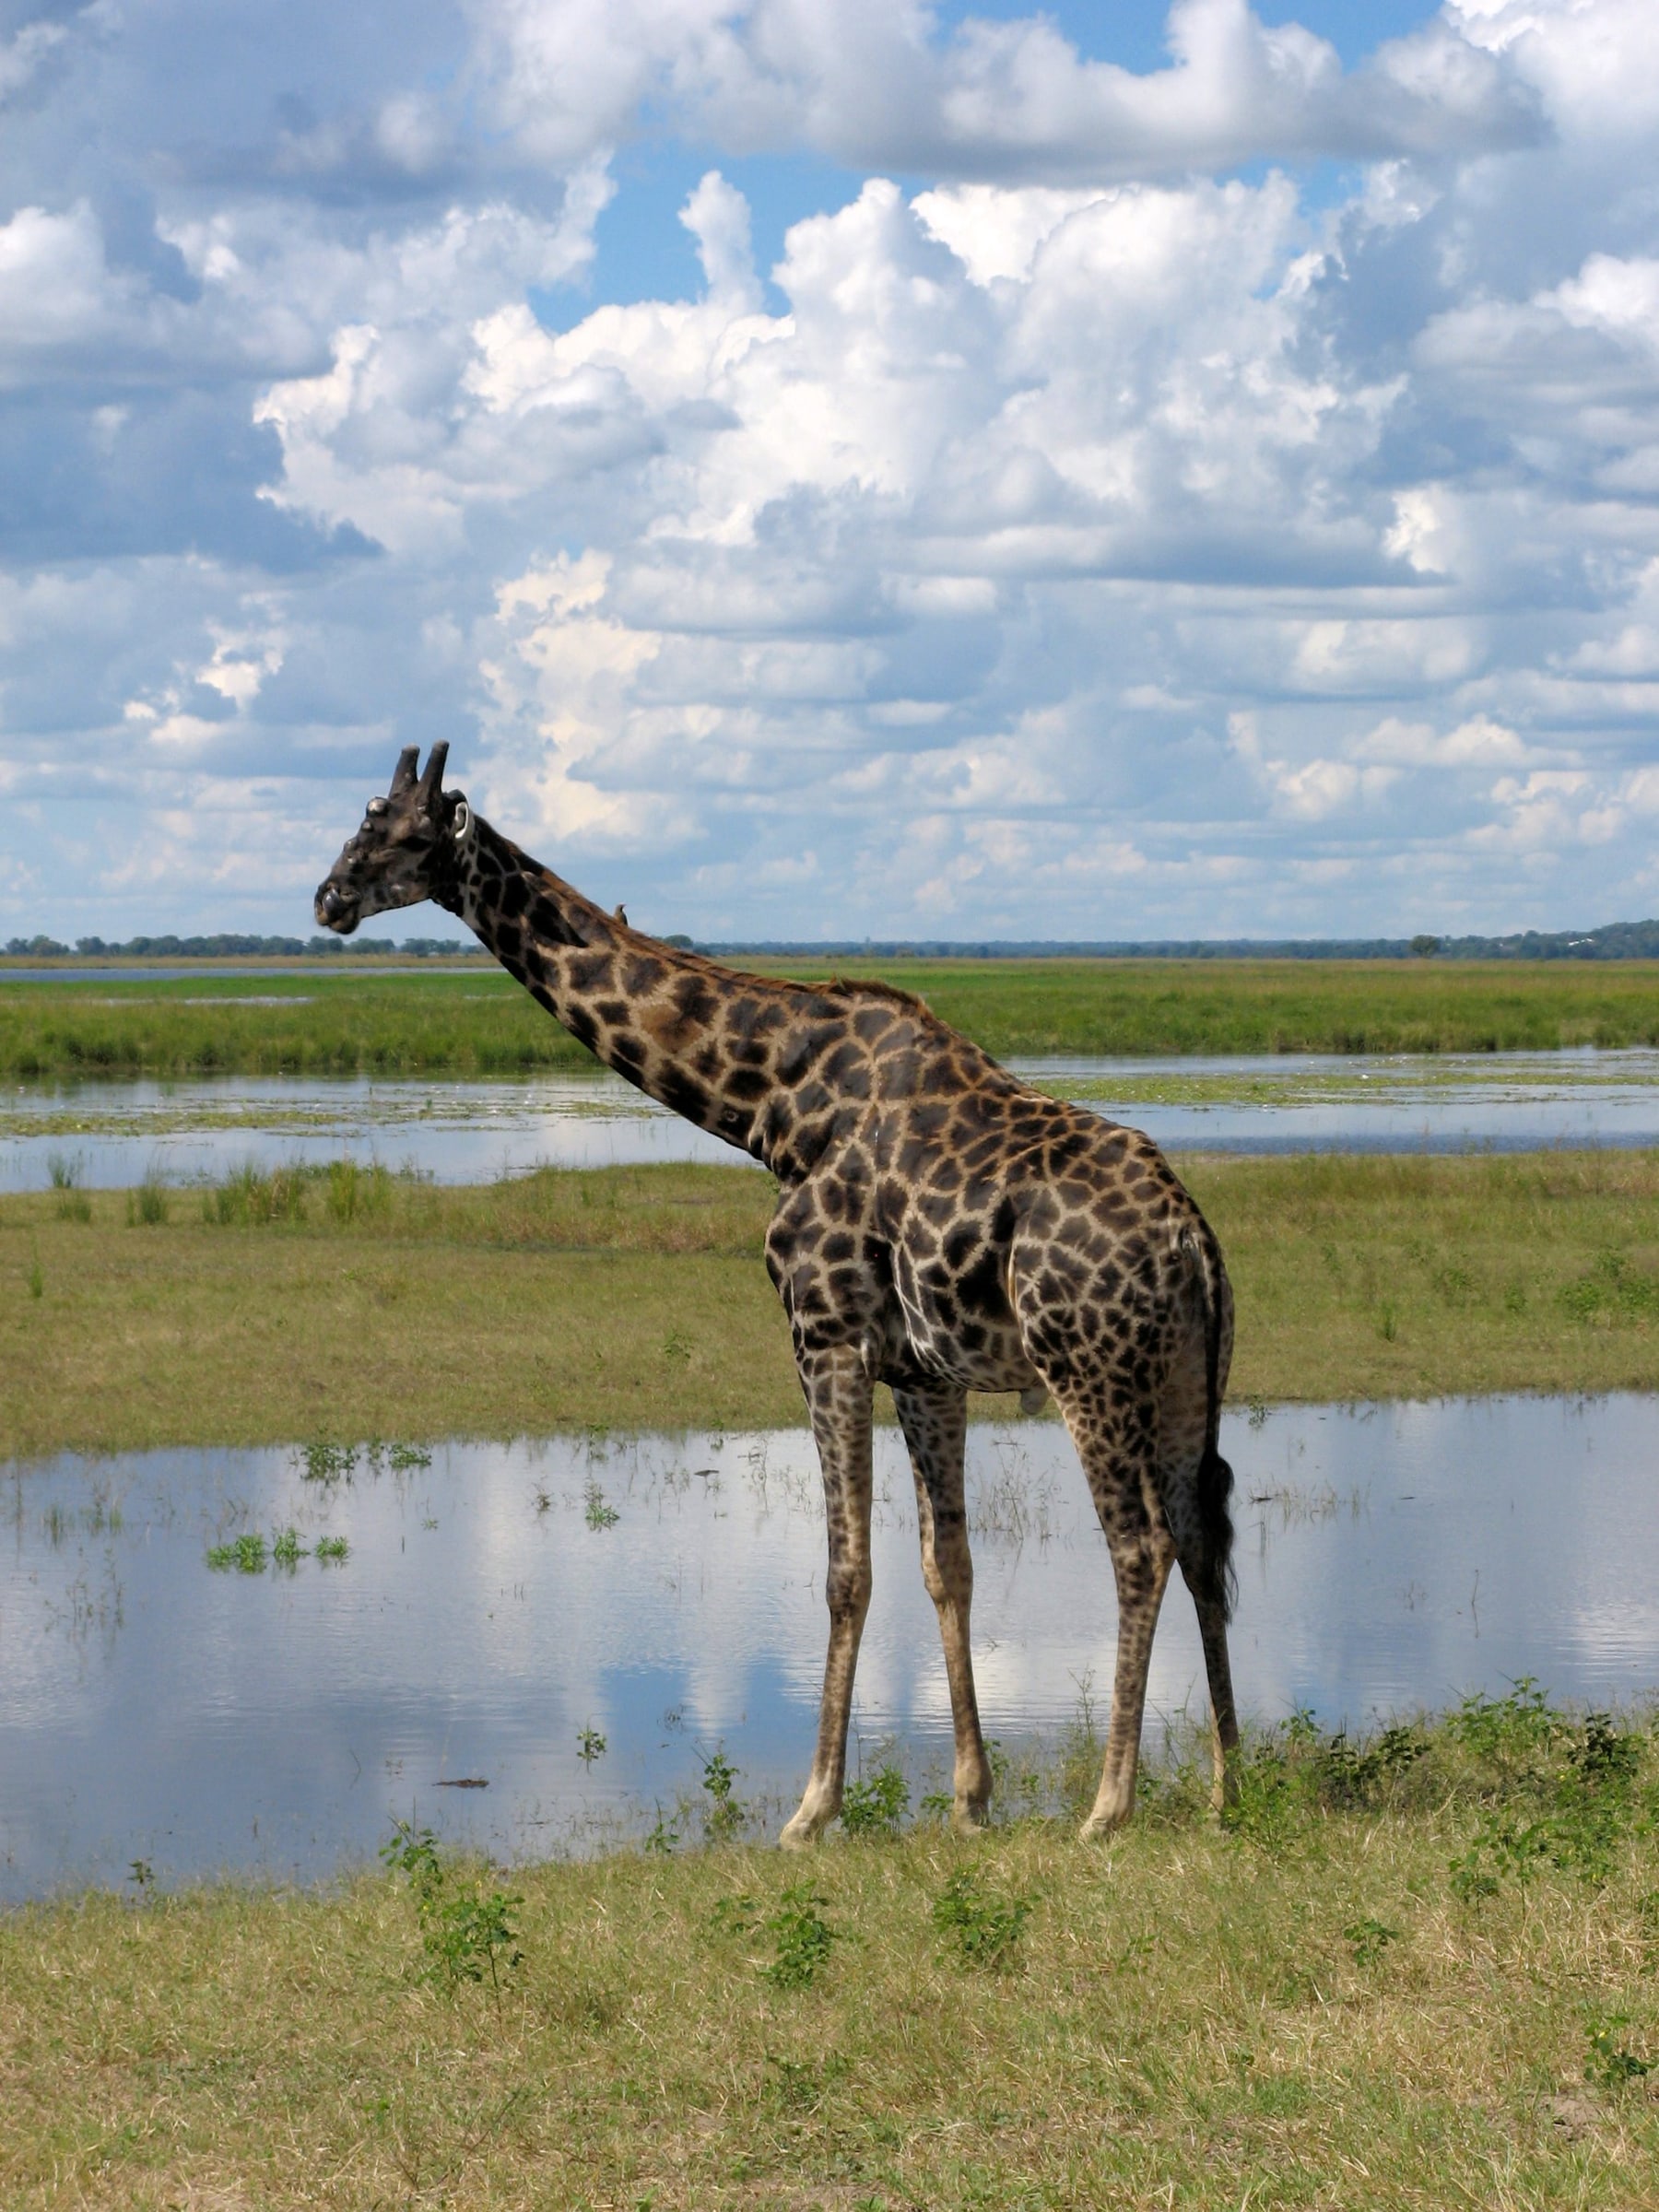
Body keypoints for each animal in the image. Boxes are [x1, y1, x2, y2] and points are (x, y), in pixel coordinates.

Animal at [316, 744, 1241, 1842]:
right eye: (361, 818)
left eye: (403, 834)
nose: (327, 899)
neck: (771, 1105)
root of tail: (1190, 1239)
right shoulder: (926, 1373)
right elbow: (948, 1565)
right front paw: (970, 1801)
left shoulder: (824, 1334)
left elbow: (848, 1571)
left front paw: (811, 1808)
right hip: (1184, 1376)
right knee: (1201, 1532)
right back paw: (1232, 1783)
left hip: (1088, 1371)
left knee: (1139, 1545)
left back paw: (1108, 1806)